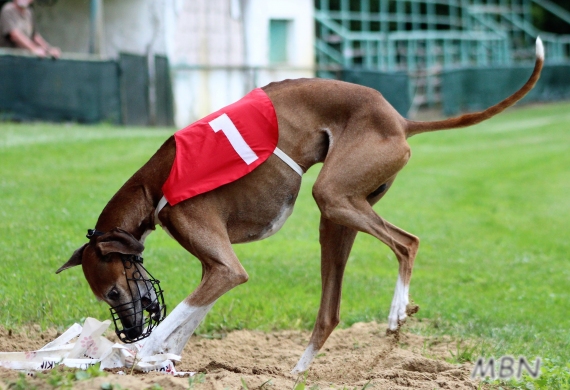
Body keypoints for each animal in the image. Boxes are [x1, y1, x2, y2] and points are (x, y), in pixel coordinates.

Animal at [56, 38, 540, 374]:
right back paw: (299, 371)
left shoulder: (225, 266)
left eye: (113, 292)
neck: (153, 183)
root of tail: (401, 120)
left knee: (407, 243)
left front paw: (136, 352)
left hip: (334, 198)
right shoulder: (216, 268)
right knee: (331, 312)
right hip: (338, 216)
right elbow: (186, 323)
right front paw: (160, 358)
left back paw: (395, 313)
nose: (130, 328)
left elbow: (175, 320)